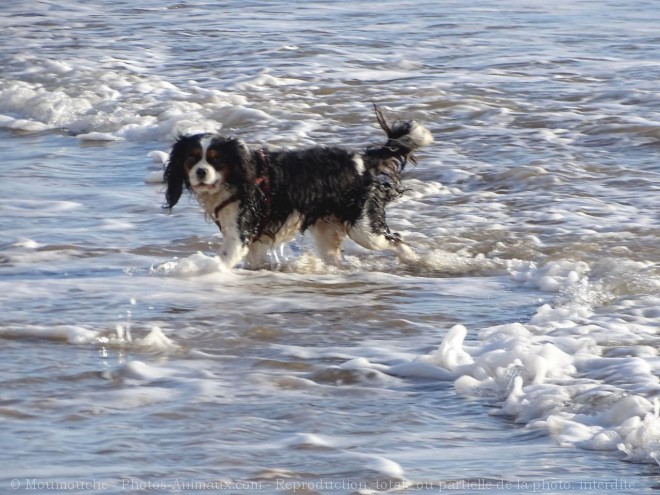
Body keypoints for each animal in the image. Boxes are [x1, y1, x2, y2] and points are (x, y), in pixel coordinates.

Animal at [164, 102, 434, 270]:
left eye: (216, 159)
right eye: (191, 158)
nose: (200, 172)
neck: (237, 177)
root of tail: (364, 160)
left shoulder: (240, 232)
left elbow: (223, 259)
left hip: (364, 229)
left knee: (396, 240)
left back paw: (416, 261)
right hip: (327, 231)